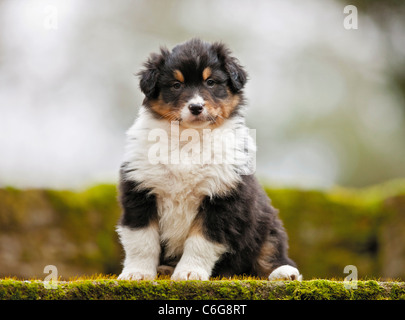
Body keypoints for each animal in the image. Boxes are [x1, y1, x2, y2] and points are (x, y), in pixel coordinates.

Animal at [116, 38, 300, 282]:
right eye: (176, 85)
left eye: (211, 82)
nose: (196, 107)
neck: (189, 138)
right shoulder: (140, 190)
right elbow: (142, 241)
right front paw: (137, 274)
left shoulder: (222, 197)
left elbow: (201, 242)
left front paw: (189, 273)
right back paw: (165, 269)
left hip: (265, 222)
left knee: (268, 252)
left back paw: (285, 273)